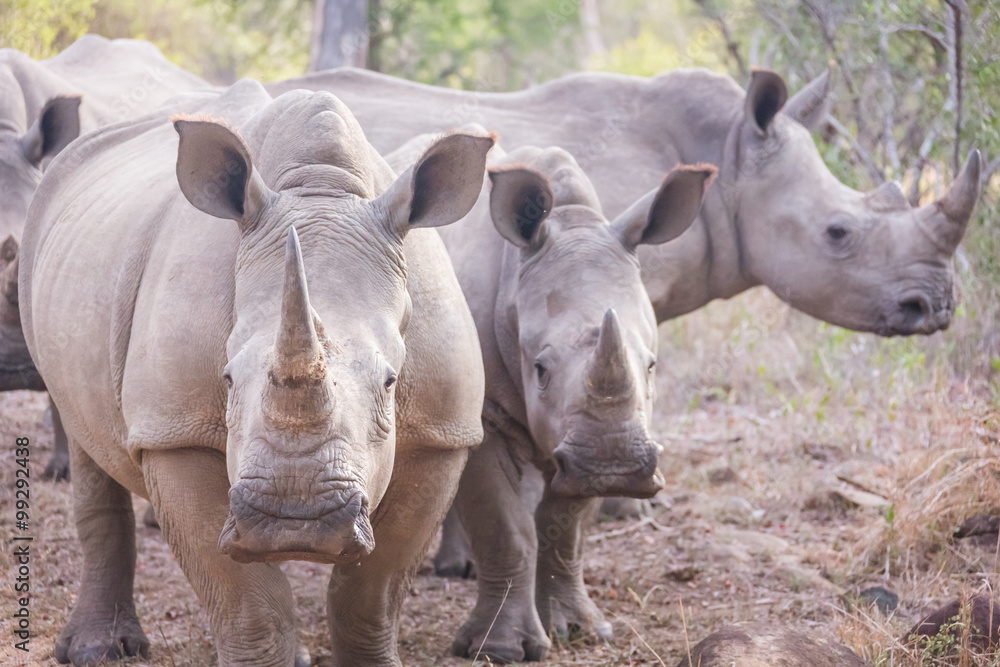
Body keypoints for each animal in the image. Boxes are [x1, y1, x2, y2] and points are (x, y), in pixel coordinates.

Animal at [20, 78, 491, 666]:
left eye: (390, 382)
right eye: (226, 378)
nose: (294, 519)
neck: (321, 190)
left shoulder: (441, 434)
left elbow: (371, 594)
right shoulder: (173, 432)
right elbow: (247, 604)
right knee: (84, 434)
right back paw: (98, 650)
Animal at [385, 131, 714, 661]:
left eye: (652, 366)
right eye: (540, 369)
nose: (615, 466)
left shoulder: (577, 446)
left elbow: (564, 528)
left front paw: (579, 632)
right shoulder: (486, 415)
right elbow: (506, 527)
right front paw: (500, 650)